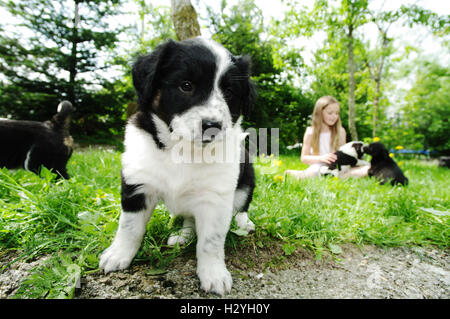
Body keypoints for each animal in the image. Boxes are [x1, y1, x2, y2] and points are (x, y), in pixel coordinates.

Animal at [100, 38, 258, 298]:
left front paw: (213, 273)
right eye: (186, 86)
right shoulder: (137, 184)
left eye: (229, 92)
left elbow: (211, 241)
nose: (213, 126)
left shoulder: (215, 197)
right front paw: (118, 254)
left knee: (241, 206)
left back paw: (244, 223)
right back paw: (182, 236)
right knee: (190, 220)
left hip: (247, 177)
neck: (184, 150)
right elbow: (129, 226)